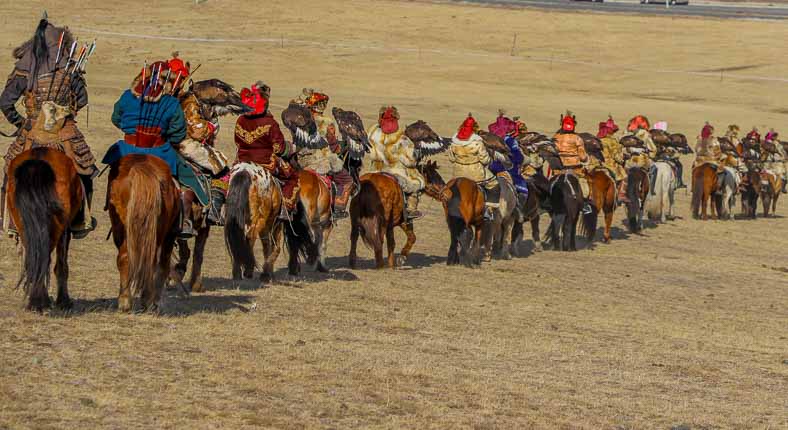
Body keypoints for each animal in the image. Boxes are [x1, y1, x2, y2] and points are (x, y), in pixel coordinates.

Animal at [4, 149, 83, 312]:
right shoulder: (65, 231)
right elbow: (61, 265)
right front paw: (64, 301)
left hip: (23, 225)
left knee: (34, 258)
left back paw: (35, 301)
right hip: (57, 228)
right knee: (45, 259)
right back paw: (41, 301)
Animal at [107, 155, 181, 312]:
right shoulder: (170, 235)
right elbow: (163, 265)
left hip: (121, 228)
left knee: (125, 257)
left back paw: (125, 300)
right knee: (152, 261)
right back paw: (147, 299)